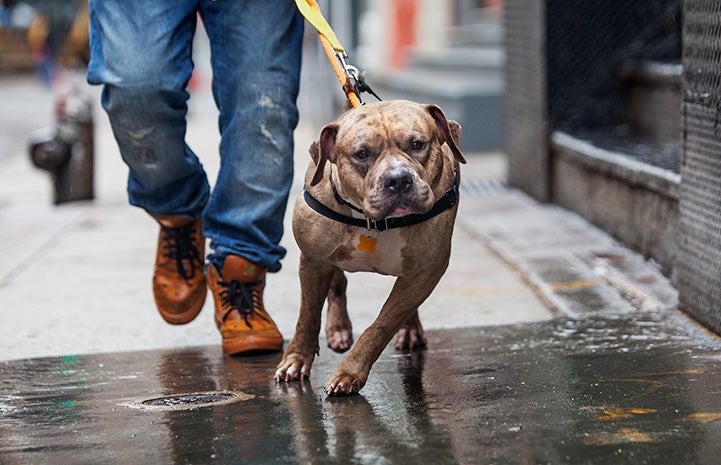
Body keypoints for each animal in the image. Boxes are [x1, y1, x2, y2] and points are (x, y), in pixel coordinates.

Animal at [272, 99, 464, 394]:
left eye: (417, 144)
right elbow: (308, 315)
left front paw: (350, 373)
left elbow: (381, 325)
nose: (398, 179)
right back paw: (338, 329)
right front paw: (295, 359)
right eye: (362, 154)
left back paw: (409, 329)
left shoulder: (426, 271)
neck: (373, 222)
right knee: (337, 284)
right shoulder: (314, 259)